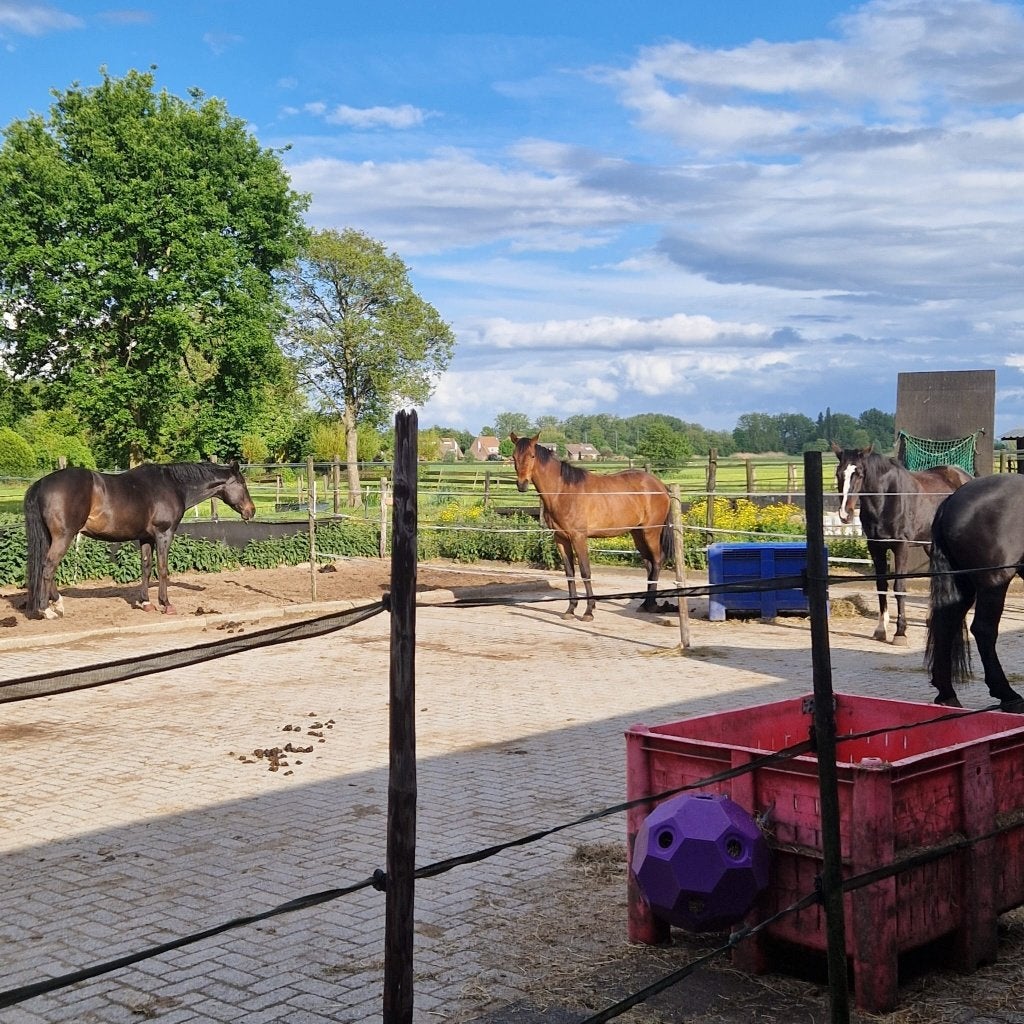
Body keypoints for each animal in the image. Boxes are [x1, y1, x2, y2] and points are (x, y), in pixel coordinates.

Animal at [24, 460, 255, 620]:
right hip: (64, 536)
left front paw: (146, 602)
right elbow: (162, 568)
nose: (251, 511)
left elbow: (146, 567)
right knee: (48, 567)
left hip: (52, 537)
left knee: (46, 566)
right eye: (242, 483)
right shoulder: (164, 534)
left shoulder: (146, 538)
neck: (173, 485)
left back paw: (57, 604)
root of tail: (42, 484)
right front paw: (166, 604)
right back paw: (46, 610)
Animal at [510, 433, 674, 620]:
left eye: (532, 456)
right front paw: (570, 609)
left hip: (651, 532)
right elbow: (570, 573)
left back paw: (651, 604)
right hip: (637, 533)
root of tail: (661, 486)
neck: (562, 491)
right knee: (649, 564)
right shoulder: (561, 539)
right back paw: (644, 604)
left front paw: (588, 611)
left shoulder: (579, 537)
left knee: (657, 560)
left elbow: (585, 571)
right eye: (514, 457)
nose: (522, 484)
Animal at [831, 443, 972, 645]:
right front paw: (881, 629)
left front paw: (900, 632)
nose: (845, 514)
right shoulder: (875, 547)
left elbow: (899, 588)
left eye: (859, 474)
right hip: (930, 543)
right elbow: (881, 586)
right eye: (838, 473)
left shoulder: (901, 547)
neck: (886, 499)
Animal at [925, 473, 1024, 712]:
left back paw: (947, 695)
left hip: (964, 584)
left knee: (946, 624)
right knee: (983, 630)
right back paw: (1008, 695)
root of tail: (952, 499)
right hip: (994, 581)